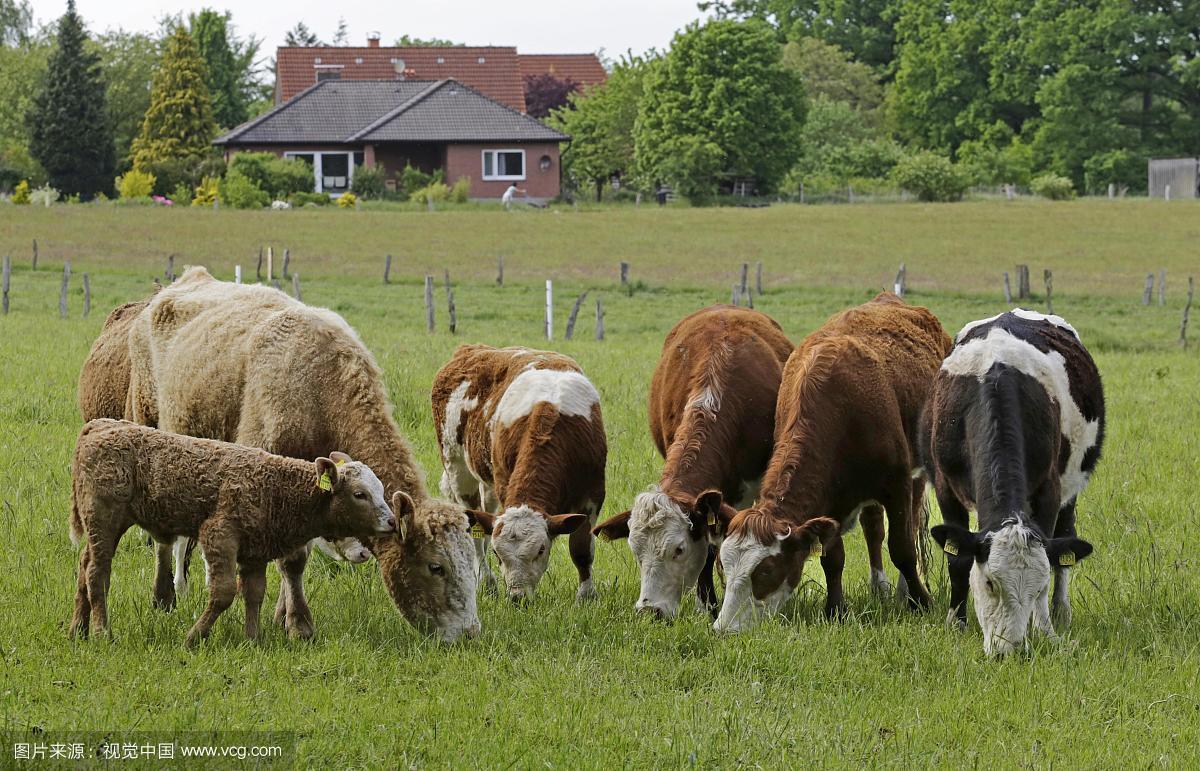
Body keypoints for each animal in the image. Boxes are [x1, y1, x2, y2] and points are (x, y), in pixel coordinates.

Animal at [434, 343, 609, 600]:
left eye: (541, 550)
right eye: (498, 555)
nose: (518, 597)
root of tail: (471, 349)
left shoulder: (593, 493)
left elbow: (581, 549)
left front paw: (587, 595)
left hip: (486, 483)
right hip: (456, 467)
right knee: (474, 532)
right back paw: (485, 580)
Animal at [592, 306, 796, 619]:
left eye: (679, 549)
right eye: (636, 551)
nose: (649, 610)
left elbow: (717, 545)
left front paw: (711, 604)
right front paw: (706, 602)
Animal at [705, 293, 950, 629]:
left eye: (766, 570)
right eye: (726, 566)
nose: (724, 627)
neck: (841, 410)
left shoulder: (896, 483)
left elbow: (902, 549)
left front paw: (921, 602)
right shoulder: (830, 501)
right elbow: (832, 558)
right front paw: (835, 609)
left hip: (916, 473)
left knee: (909, 526)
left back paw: (904, 591)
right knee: (873, 528)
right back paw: (880, 588)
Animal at [916, 307, 1104, 653]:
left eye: (1037, 585)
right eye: (990, 582)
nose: (1010, 650)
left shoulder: (1050, 490)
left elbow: (1052, 556)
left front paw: (1044, 630)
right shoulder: (946, 489)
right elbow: (958, 559)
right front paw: (956, 623)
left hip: (1072, 485)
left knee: (1065, 542)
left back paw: (1061, 611)